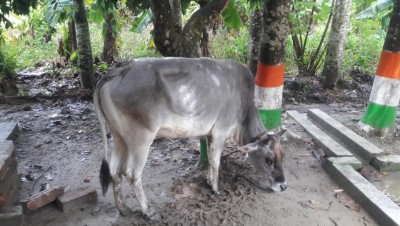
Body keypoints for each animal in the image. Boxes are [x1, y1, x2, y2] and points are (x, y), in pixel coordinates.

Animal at [93, 57, 288, 220]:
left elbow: (209, 159)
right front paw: (216, 189)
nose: (283, 186)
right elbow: (216, 161)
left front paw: (209, 180)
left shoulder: (209, 134)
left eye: (282, 156)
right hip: (141, 139)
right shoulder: (220, 131)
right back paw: (148, 211)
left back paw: (123, 208)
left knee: (114, 170)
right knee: (131, 173)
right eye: (269, 160)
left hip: (119, 137)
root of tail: (119, 70)